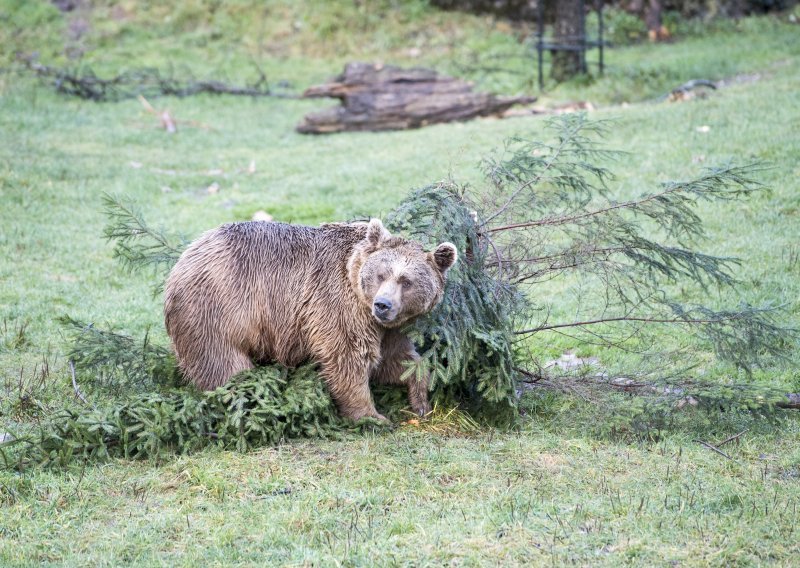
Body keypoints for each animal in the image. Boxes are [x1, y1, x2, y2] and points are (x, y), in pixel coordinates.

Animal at [162, 219, 456, 422]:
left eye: (406, 281)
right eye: (381, 274)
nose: (382, 304)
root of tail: (181, 261)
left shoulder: (390, 328)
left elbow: (399, 360)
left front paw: (421, 401)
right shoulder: (335, 303)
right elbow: (347, 356)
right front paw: (371, 415)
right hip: (217, 308)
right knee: (224, 364)